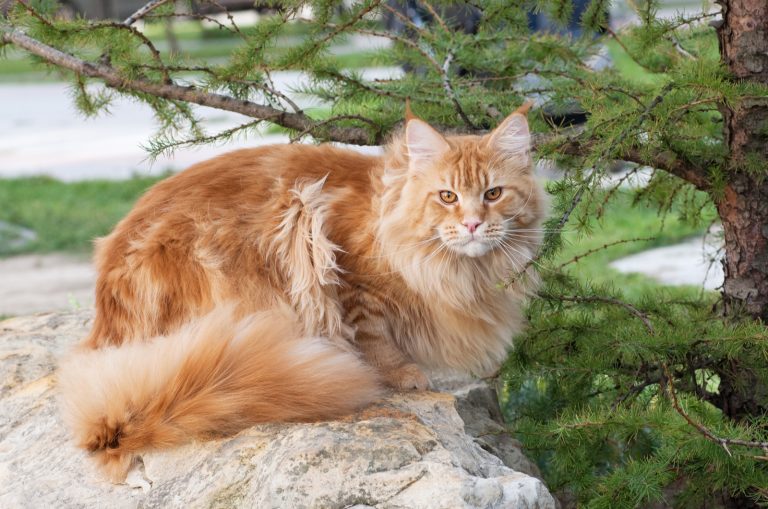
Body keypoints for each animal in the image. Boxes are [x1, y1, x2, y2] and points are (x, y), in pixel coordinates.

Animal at [58, 103, 544, 480]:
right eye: (447, 197)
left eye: (493, 193)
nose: (473, 224)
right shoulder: (344, 269)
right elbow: (372, 333)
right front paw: (399, 373)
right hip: (284, 226)